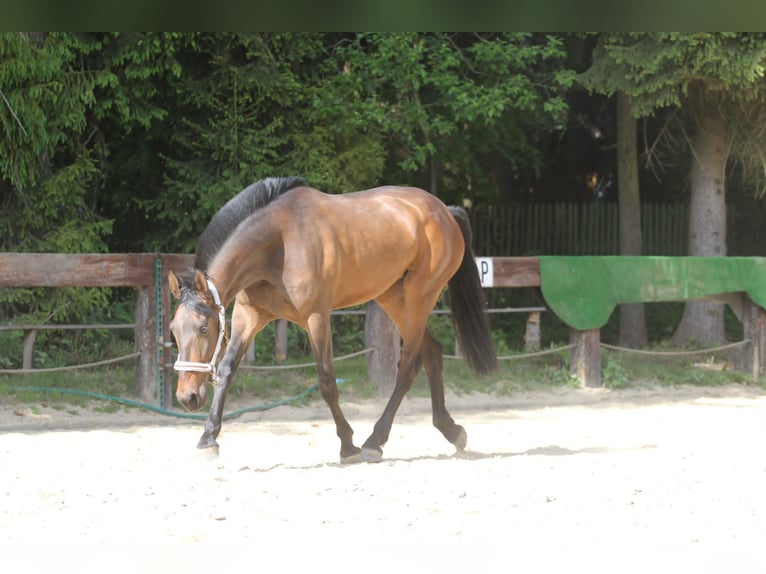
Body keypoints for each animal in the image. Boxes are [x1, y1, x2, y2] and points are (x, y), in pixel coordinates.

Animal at [168, 176, 498, 464]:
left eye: (203, 328)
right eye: (173, 331)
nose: (187, 396)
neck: (278, 243)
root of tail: (445, 211)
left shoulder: (316, 318)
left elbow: (327, 382)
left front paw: (348, 445)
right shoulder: (248, 316)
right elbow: (226, 371)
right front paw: (208, 440)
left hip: (419, 299)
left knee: (408, 368)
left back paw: (374, 441)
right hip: (394, 300)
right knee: (431, 353)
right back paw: (451, 430)